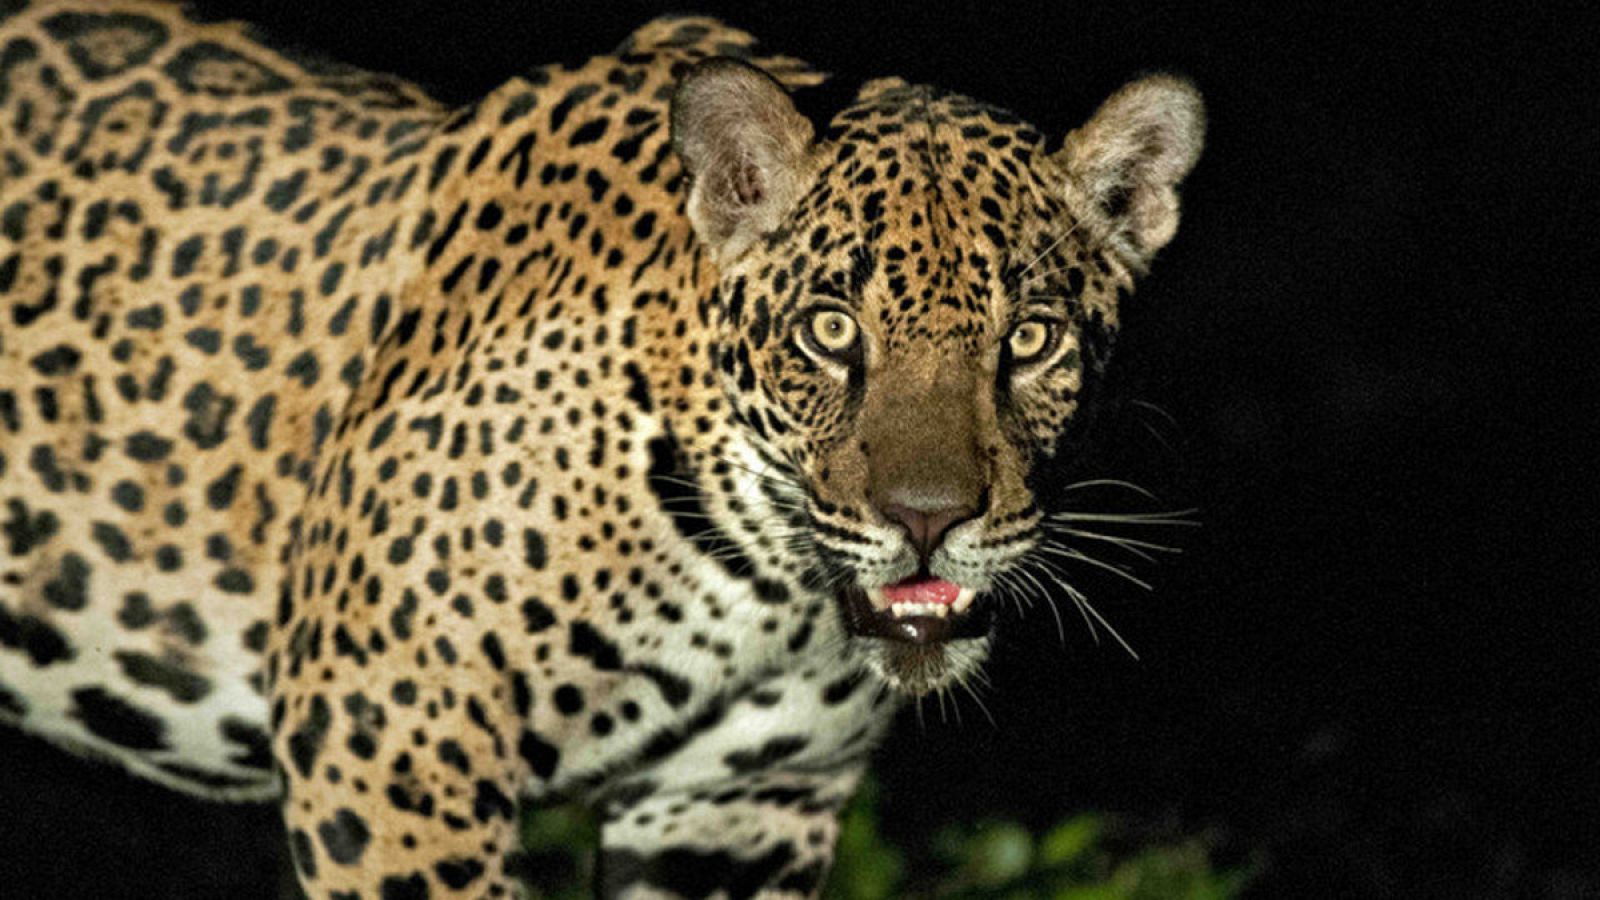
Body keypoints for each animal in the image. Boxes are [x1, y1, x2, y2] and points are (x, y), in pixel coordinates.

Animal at [0, 1, 1205, 896]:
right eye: (829, 331)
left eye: (1030, 340)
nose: (927, 520)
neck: (763, 587)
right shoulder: (387, 743)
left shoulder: (741, 814)